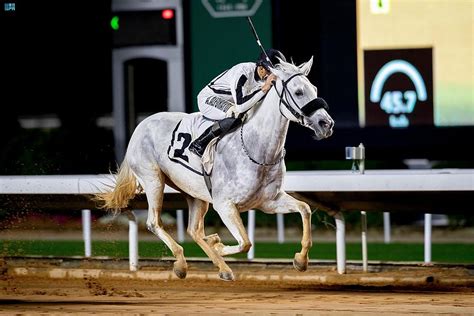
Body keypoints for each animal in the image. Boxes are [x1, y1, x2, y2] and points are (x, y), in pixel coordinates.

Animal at [95, 57, 334, 282]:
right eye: (298, 91)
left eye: (314, 89)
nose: (327, 124)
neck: (257, 149)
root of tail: (141, 125)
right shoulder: (224, 205)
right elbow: (246, 242)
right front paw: (218, 244)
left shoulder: (268, 201)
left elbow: (304, 209)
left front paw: (301, 260)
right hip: (153, 180)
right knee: (154, 223)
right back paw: (182, 263)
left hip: (195, 194)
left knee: (194, 230)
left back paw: (222, 267)